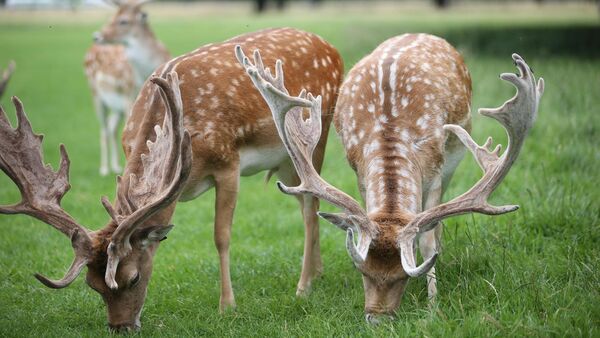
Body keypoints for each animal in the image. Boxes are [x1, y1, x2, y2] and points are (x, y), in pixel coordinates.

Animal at [0, 27, 342, 332]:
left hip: (317, 135)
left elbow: (221, 236)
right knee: (305, 202)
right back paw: (318, 272)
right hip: (285, 162)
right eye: (92, 284)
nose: (120, 327)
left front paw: (227, 306)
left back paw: (303, 287)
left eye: (133, 277)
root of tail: (331, 47)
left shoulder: (228, 162)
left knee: (311, 207)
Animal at [84, 0, 170, 177]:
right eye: (112, 16)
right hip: (96, 94)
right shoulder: (127, 93)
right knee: (104, 129)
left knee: (112, 127)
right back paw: (104, 169)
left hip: (115, 105)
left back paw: (115, 166)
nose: (97, 36)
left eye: (123, 21)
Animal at [239, 33, 544, 322]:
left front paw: (433, 305)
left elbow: (428, 241)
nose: (377, 318)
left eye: (403, 276)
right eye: (362, 270)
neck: (389, 132)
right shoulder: (360, 173)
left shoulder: (436, 171)